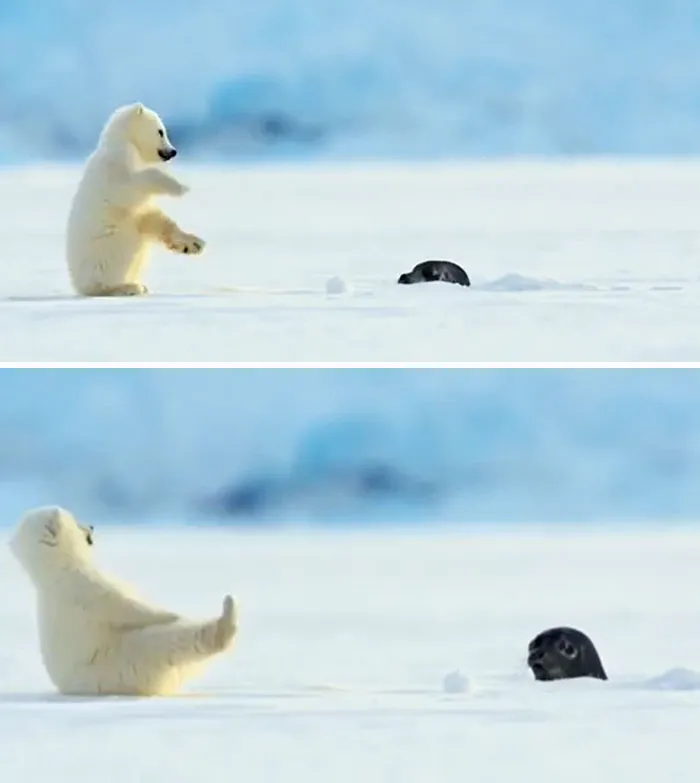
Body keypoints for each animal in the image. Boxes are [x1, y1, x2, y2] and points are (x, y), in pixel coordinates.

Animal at [8, 506, 238, 696]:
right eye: (75, 520)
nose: (91, 526)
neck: (54, 571)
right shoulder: (84, 588)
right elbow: (126, 605)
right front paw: (172, 614)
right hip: (124, 663)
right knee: (167, 642)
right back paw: (226, 616)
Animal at [66, 102, 206, 297]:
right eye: (161, 131)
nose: (173, 151)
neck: (125, 145)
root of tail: (79, 285)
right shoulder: (114, 169)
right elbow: (129, 189)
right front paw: (180, 187)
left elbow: (152, 217)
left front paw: (193, 244)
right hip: (106, 250)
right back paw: (128, 287)